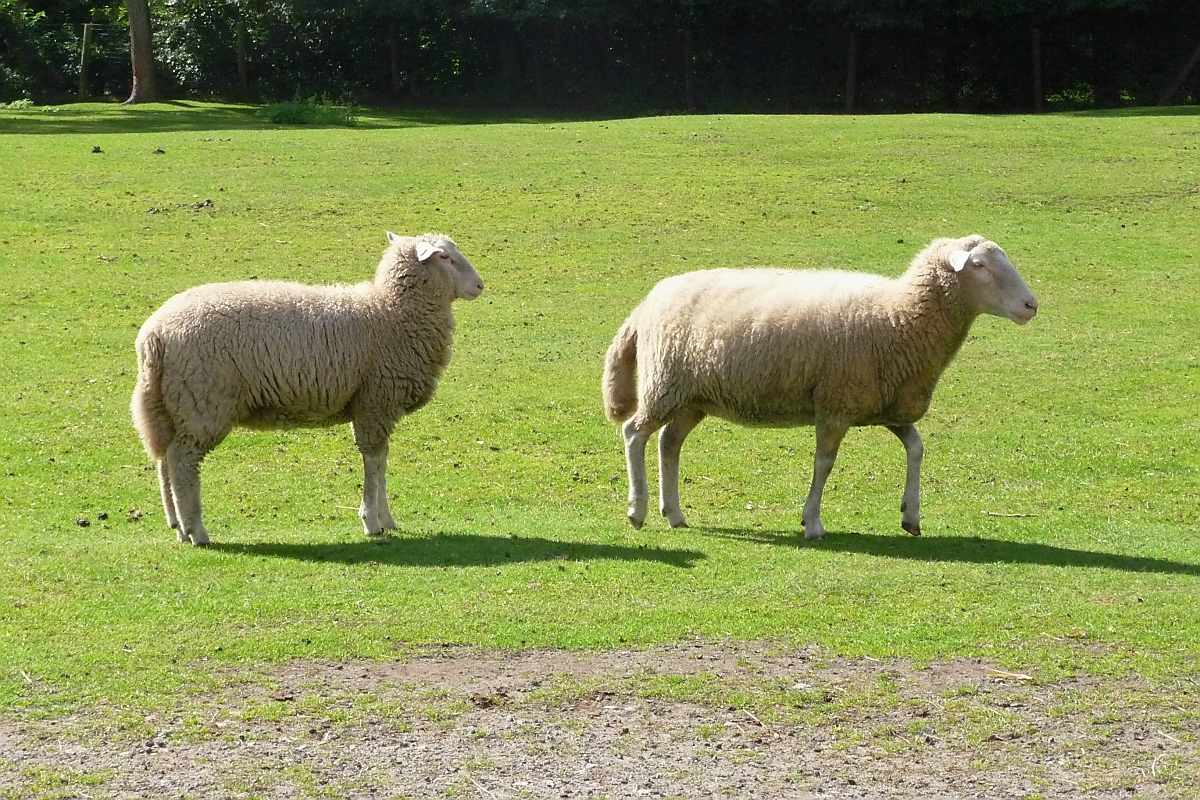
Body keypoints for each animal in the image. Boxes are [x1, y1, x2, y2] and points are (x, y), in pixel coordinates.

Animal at [130, 227, 482, 546]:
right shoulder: (376, 401)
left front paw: (386, 518)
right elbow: (373, 462)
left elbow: (381, 461)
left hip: (170, 404)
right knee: (183, 462)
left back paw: (177, 526)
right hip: (202, 402)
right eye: (445, 257)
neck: (389, 312)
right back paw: (196, 531)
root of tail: (154, 334)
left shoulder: (374, 406)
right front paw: (371, 521)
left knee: (165, 460)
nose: (480, 285)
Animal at [604, 235, 1036, 542]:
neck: (899, 315)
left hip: (694, 396)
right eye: (979, 265)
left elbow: (916, 448)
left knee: (668, 442)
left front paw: (911, 514)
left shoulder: (885, 405)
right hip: (665, 383)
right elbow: (824, 464)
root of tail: (647, 303)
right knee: (634, 433)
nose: (1032, 305)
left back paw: (674, 514)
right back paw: (638, 510)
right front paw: (812, 522)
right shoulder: (835, 404)